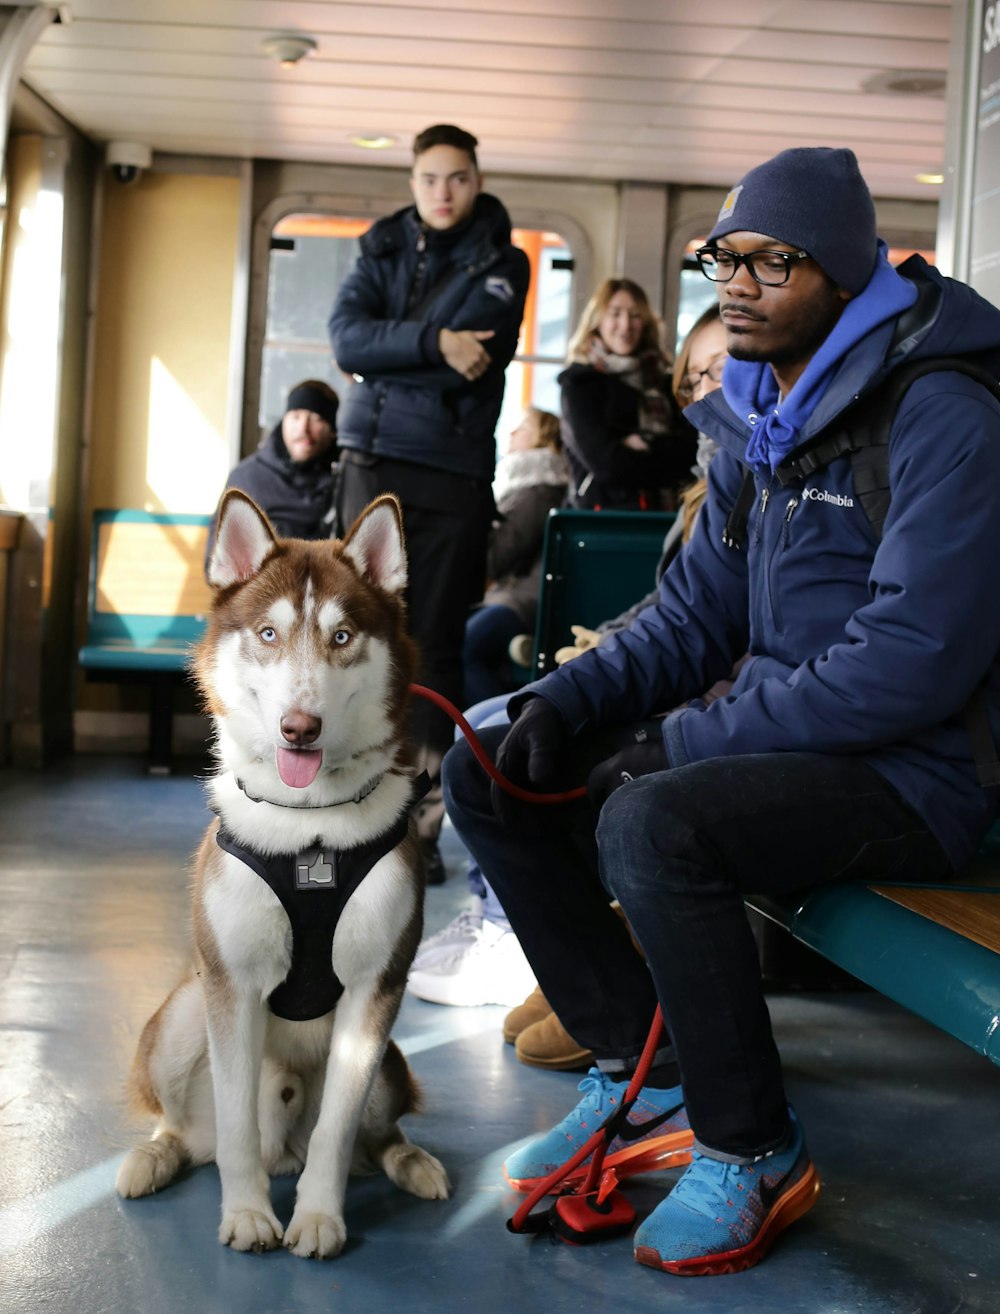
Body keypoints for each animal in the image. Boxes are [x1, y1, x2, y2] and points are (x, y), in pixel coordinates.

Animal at [112, 494, 449, 1261]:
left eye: (343, 636)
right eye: (268, 633)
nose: (300, 728)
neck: (308, 831)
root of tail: (282, 1152)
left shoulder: (375, 990)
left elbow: (337, 1132)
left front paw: (319, 1217)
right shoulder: (231, 985)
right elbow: (236, 1125)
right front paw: (247, 1215)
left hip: (389, 1066)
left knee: (375, 1135)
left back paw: (413, 1163)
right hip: (182, 1015)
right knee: (191, 1132)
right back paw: (154, 1158)